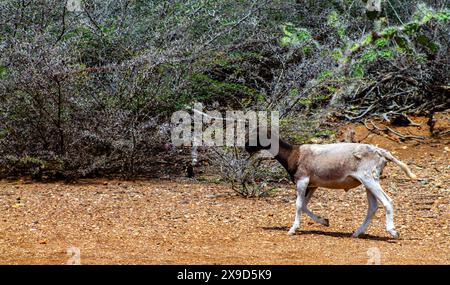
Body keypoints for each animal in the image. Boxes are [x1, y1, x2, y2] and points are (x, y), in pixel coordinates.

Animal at [246, 134, 418, 236]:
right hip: (369, 182)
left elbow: (298, 205)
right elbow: (304, 205)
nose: (247, 148)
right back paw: (356, 233)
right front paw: (324, 221)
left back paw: (392, 231)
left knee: (387, 201)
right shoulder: (312, 185)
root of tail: (380, 152)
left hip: (369, 178)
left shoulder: (303, 180)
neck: (294, 154)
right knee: (373, 207)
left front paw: (292, 229)